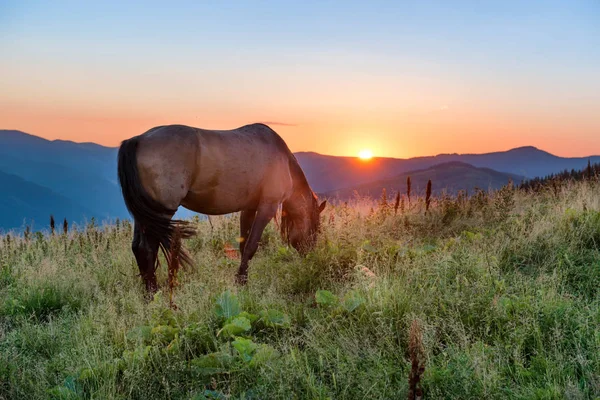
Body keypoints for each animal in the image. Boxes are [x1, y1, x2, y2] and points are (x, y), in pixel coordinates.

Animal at [116, 121, 324, 290]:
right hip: (159, 213)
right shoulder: (267, 206)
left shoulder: (249, 208)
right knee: (147, 249)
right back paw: (153, 293)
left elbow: (243, 245)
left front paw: (243, 279)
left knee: (138, 248)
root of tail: (137, 140)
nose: (311, 258)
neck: (282, 158)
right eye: (315, 229)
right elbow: (251, 245)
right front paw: (241, 282)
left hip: (145, 215)